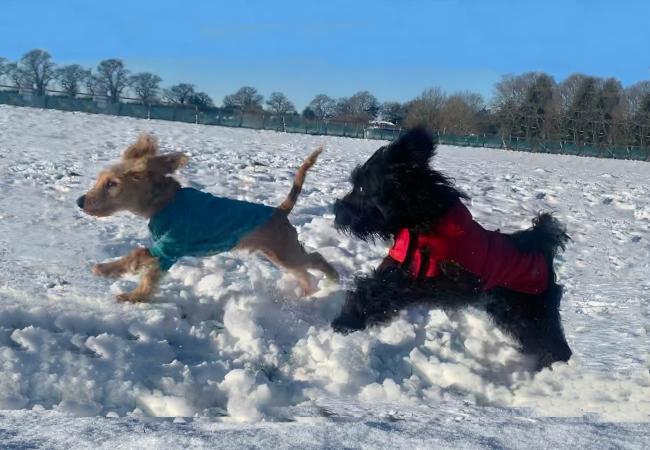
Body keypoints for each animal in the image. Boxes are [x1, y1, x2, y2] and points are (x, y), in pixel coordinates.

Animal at [78, 134, 336, 302]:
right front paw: (137, 295)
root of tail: (280, 210)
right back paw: (309, 292)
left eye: (112, 184)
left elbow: (137, 257)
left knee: (316, 258)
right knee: (303, 271)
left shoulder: (169, 247)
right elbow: (149, 274)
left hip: (285, 252)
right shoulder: (165, 253)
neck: (164, 203)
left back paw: (333, 280)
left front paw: (109, 273)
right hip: (276, 254)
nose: (79, 201)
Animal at [332, 126, 568, 370]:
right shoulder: (400, 266)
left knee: (552, 342)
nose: (336, 211)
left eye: (361, 187)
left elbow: (374, 290)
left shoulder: (416, 277)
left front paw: (346, 320)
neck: (421, 219)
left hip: (531, 310)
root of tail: (543, 245)